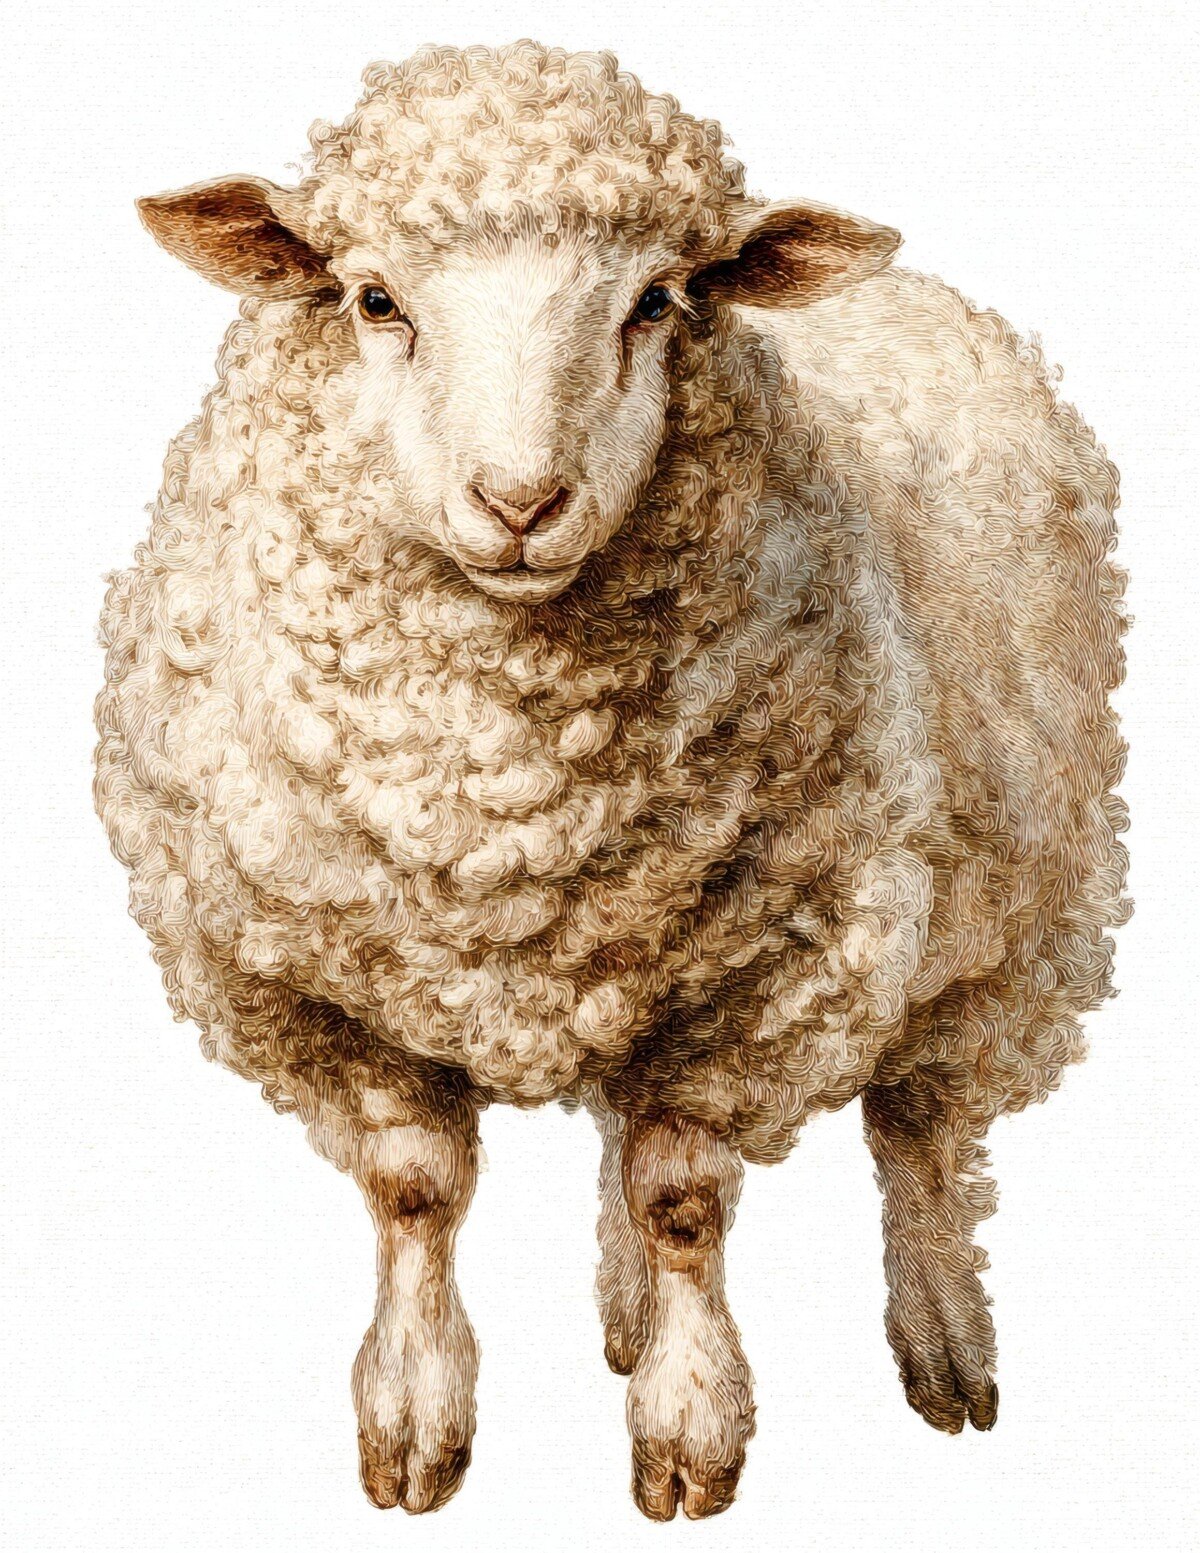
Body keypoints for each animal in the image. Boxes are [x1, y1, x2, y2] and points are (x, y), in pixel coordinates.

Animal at [95, 40, 1128, 1521]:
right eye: (372, 298)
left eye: (657, 301)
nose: (521, 504)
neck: (511, 804)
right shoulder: (310, 981)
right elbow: (416, 1190)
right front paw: (414, 1421)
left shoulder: (783, 967)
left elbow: (686, 1194)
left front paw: (689, 1434)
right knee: (633, 1128)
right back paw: (627, 1314)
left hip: (1019, 907)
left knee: (920, 1126)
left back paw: (942, 1341)